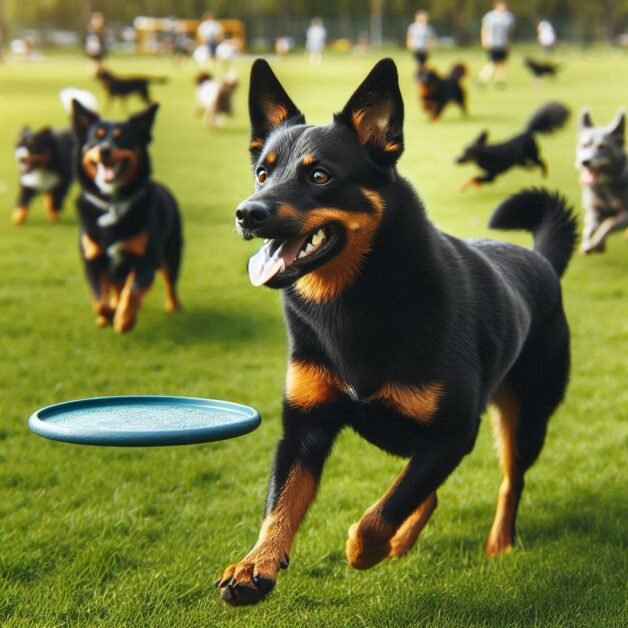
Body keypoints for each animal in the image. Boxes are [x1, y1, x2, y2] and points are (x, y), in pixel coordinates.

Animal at [216, 57, 580, 604]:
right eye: (263, 172)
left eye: (320, 175)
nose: (247, 213)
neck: (355, 302)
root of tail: (542, 260)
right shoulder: (304, 428)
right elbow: (282, 503)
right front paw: (255, 564)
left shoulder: (454, 431)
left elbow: (382, 511)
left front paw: (363, 551)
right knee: (425, 493)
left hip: (526, 417)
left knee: (507, 482)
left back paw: (497, 542)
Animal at [576, 108, 624, 253]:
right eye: (584, 145)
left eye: (602, 146)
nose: (585, 162)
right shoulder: (594, 209)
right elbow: (590, 228)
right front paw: (589, 244)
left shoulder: (625, 214)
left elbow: (608, 224)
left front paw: (597, 243)